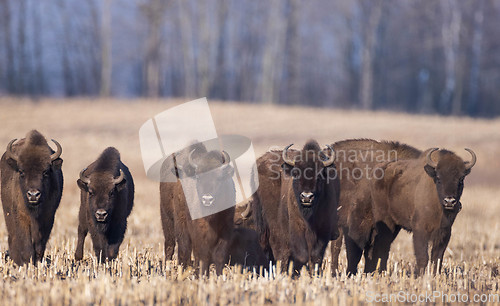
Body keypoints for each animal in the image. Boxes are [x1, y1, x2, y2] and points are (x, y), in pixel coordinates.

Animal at [0, 129, 63, 266]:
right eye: (21, 172)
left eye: (45, 172)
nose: (33, 194)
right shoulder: (21, 217)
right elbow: (25, 244)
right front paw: (26, 264)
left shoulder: (48, 218)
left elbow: (40, 245)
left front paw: (37, 264)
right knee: (12, 237)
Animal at [160, 143, 238, 274]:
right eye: (198, 176)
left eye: (219, 177)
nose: (207, 199)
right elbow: (199, 254)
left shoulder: (225, 228)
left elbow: (219, 255)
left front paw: (218, 275)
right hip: (168, 219)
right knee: (173, 246)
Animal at [250, 140, 340, 274]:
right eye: (296, 173)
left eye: (319, 175)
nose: (307, 197)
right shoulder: (296, 226)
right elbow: (299, 253)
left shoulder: (323, 229)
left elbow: (316, 256)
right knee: (278, 248)